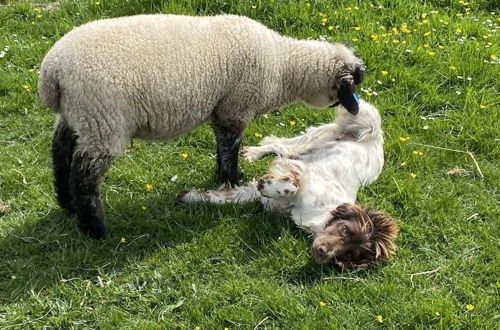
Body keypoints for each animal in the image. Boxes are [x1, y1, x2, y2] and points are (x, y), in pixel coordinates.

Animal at [38, 14, 364, 238]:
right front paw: (232, 179)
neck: (284, 67)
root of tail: (52, 74)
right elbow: (230, 148)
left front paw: (222, 177)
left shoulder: (223, 109)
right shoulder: (236, 107)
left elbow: (222, 146)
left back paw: (67, 204)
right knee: (85, 176)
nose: (354, 109)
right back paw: (94, 229)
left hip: (78, 116)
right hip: (104, 121)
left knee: (60, 152)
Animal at [178, 98, 396, 268]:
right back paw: (253, 153)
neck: (318, 215)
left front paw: (190, 197)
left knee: (283, 148)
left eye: (351, 255)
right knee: (281, 144)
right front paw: (269, 185)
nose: (322, 253)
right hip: (352, 125)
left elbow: (225, 197)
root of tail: (378, 140)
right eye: (345, 230)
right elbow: (290, 185)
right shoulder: (301, 170)